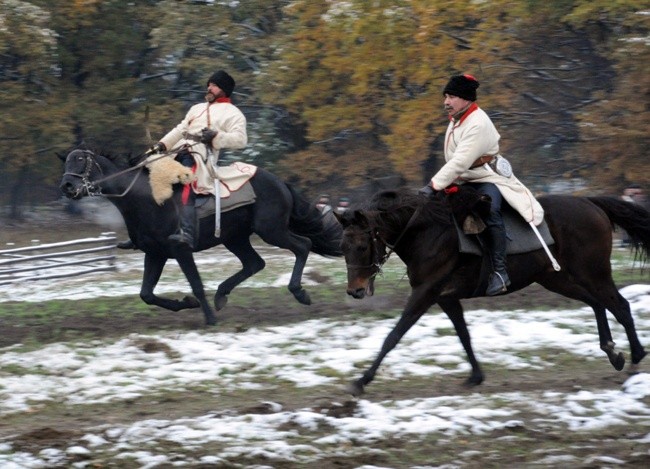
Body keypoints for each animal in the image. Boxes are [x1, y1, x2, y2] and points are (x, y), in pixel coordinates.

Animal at [60, 148, 342, 324]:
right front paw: (188, 303)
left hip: (271, 231)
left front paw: (208, 318)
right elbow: (146, 294)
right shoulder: (155, 253)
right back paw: (221, 295)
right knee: (255, 263)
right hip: (236, 238)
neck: (148, 198)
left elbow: (195, 283)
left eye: (80, 161)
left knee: (303, 245)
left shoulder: (181, 251)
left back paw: (299, 292)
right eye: (66, 162)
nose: (67, 186)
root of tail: (279, 182)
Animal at [334, 186, 648, 394]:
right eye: (343, 246)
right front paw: (475, 376)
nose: (355, 291)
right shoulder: (446, 298)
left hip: (594, 273)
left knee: (620, 306)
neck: (426, 231)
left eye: (361, 246)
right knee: (597, 303)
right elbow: (464, 335)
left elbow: (393, 336)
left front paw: (362, 380)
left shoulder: (425, 293)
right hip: (557, 279)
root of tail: (589, 202)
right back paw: (613, 352)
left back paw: (634, 358)